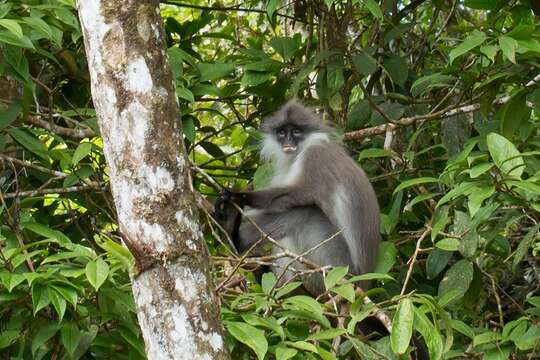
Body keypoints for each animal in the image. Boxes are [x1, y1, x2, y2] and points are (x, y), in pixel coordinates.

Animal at [215, 99, 380, 296]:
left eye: (296, 132)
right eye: (282, 132)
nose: (288, 142)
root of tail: (362, 285)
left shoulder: (315, 157)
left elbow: (297, 195)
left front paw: (238, 197)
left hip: (336, 268)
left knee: (303, 213)